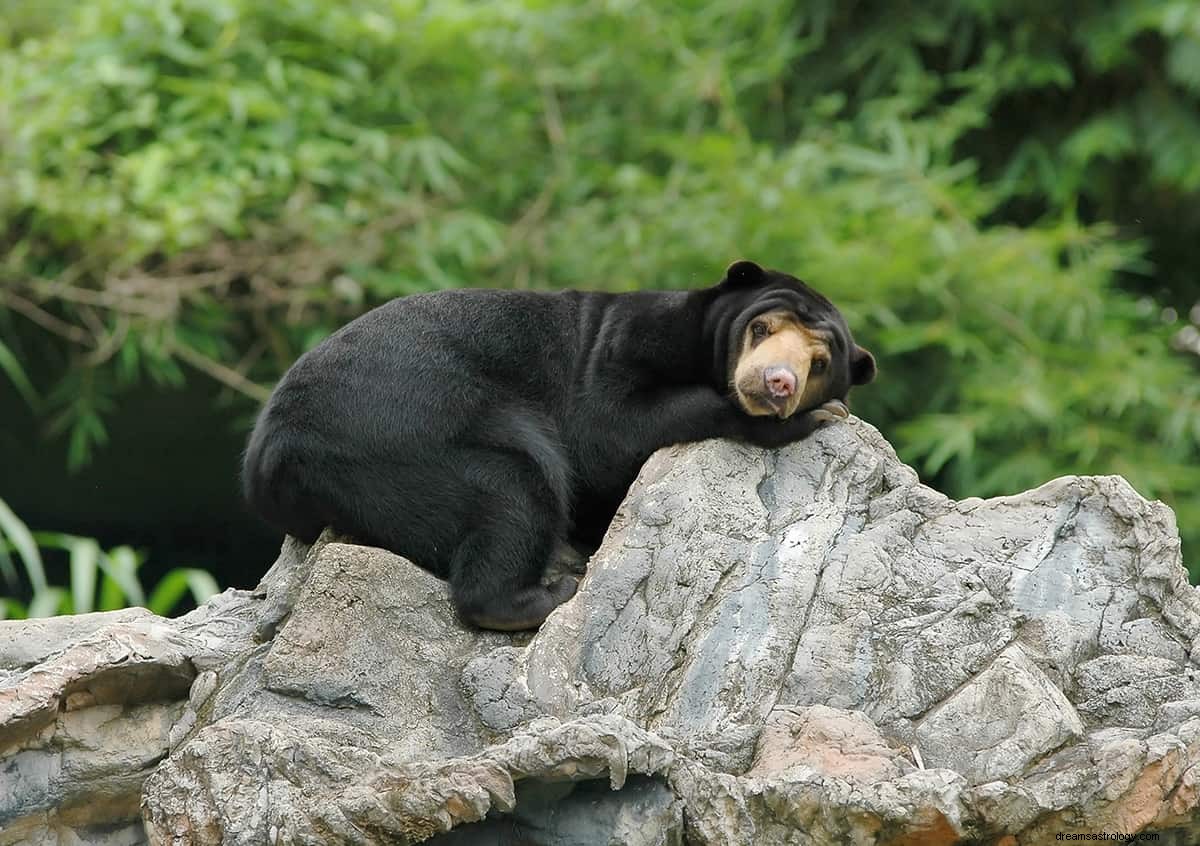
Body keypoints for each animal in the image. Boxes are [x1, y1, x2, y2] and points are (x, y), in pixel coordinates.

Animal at [241, 260, 873, 628]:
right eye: (761, 329)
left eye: (820, 362)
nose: (777, 383)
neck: (701, 344)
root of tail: (268, 460)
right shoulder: (625, 341)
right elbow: (606, 429)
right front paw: (816, 417)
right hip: (401, 435)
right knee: (516, 488)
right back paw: (549, 592)